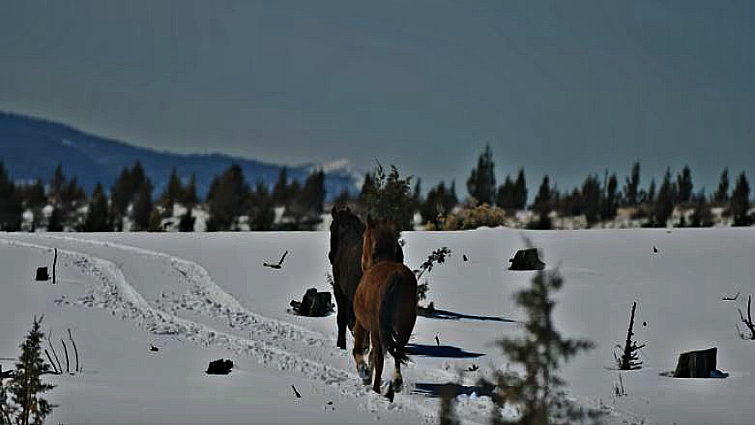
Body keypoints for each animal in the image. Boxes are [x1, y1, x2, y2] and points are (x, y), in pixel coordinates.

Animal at [352, 216, 418, 395]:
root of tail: (396, 276)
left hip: (376, 329)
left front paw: (364, 373)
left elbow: (358, 350)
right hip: (405, 326)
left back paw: (375, 388)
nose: (361, 262)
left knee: (379, 357)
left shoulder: (361, 324)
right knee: (398, 351)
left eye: (364, 236)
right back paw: (396, 382)